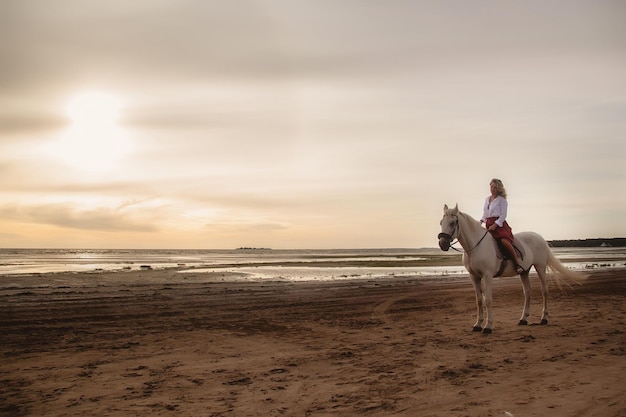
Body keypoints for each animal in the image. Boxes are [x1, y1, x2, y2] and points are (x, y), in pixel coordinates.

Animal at [438, 203, 580, 334]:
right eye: (441, 222)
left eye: (452, 223)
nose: (442, 244)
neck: (475, 247)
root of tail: (539, 237)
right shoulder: (474, 277)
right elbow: (479, 301)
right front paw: (477, 325)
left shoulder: (487, 276)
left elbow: (487, 300)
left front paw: (488, 326)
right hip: (524, 272)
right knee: (527, 292)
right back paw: (523, 319)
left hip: (540, 267)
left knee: (544, 291)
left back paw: (544, 318)